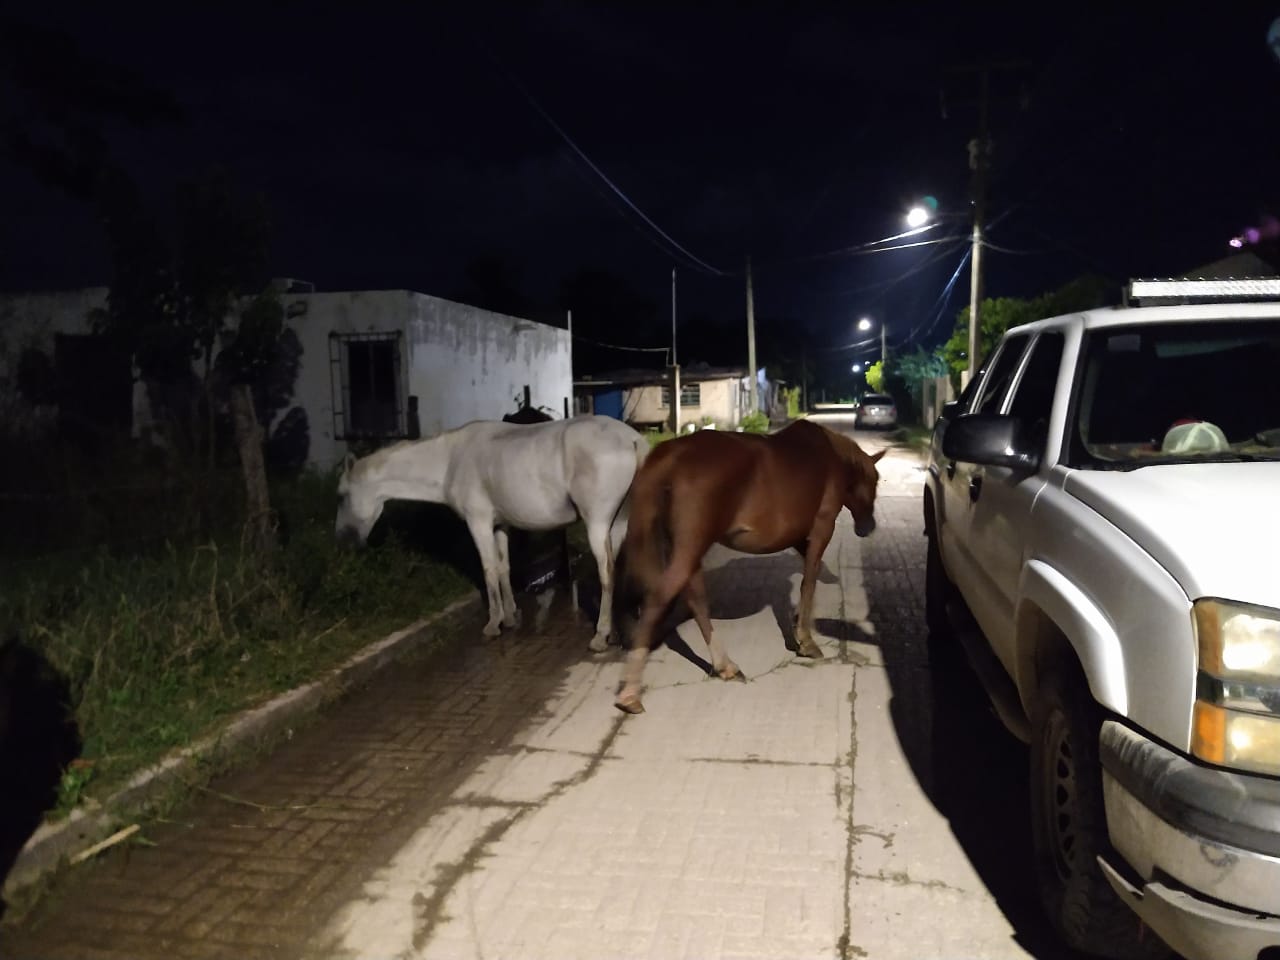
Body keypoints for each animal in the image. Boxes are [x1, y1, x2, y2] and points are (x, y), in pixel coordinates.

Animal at [335, 415, 648, 650]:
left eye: (341, 495)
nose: (344, 541)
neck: (450, 459)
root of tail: (631, 438)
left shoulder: (479, 522)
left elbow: (487, 569)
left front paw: (493, 623)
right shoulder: (500, 525)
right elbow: (502, 568)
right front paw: (510, 616)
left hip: (598, 523)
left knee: (607, 572)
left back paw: (601, 635)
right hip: (618, 523)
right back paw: (618, 630)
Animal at [614, 419, 884, 713]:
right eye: (874, 480)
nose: (867, 527)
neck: (831, 457)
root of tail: (671, 455)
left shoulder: (799, 537)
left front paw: (800, 623)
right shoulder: (822, 528)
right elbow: (809, 580)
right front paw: (806, 639)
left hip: (688, 549)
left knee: (696, 600)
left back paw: (724, 666)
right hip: (690, 546)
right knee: (660, 597)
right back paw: (630, 692)